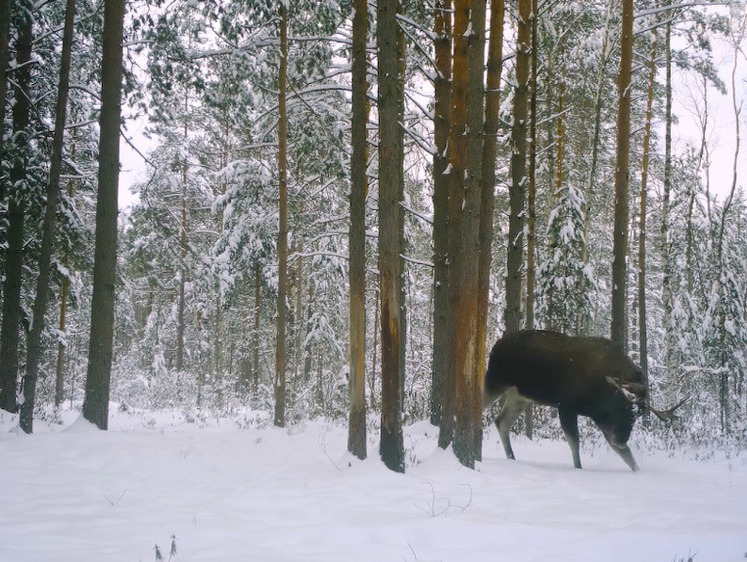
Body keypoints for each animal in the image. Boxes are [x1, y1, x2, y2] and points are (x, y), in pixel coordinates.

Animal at [482, 330, 688, 470]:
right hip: (496, 381)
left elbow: (627, 456)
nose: (621, 439)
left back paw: (512, 457)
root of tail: (496, 345)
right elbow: (575, 443)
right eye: (623, 405)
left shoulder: (602, 419)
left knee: (501, 422)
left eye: (638, 415)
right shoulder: (566, 407)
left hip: (519, 395)